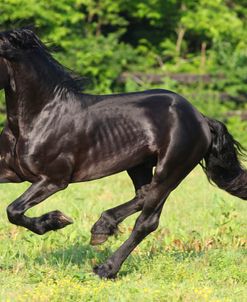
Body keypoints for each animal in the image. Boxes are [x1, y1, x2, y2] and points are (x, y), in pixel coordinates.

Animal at [0, 28, 246, 278]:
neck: (40, 117)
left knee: (147, 221)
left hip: (170, 171)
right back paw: (101, 228)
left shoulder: (54, 179)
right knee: (142, 196)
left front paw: (56, 220)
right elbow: (13, 211)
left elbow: (13, 210)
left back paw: (106, 268)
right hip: (139, 166)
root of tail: (201, 118)